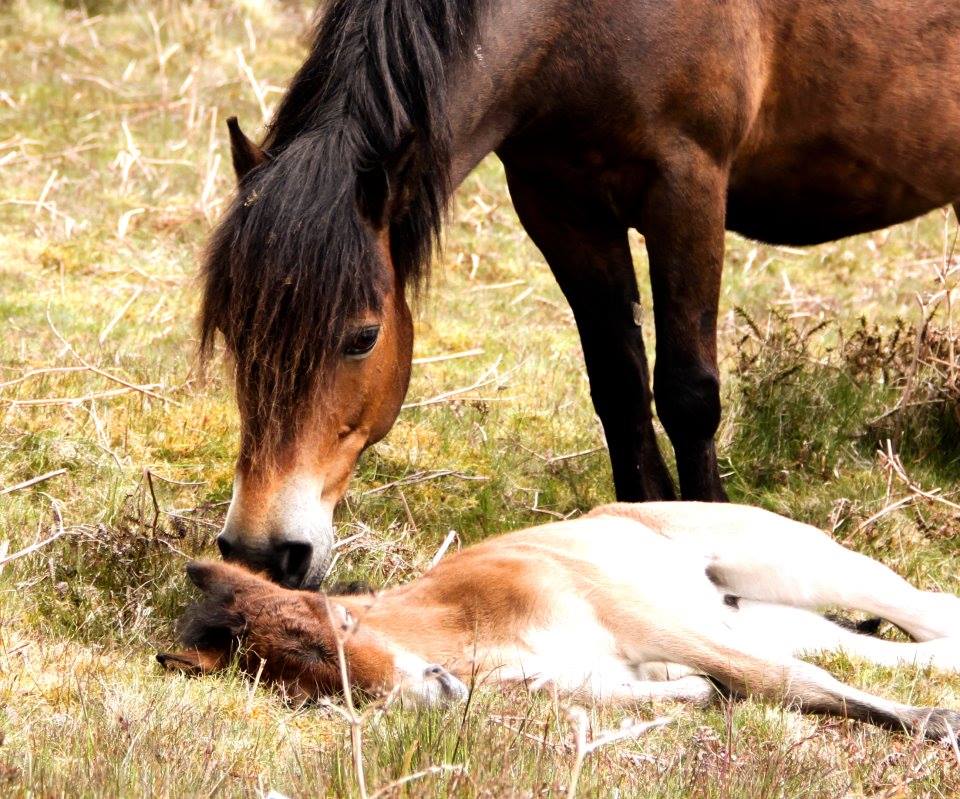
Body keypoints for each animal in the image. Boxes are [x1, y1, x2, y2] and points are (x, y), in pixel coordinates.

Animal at [160, 502, 960, 741]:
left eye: (335, 630)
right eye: (305, 690)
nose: (433, 692)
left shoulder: (642, 617)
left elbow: (779, 681)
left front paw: (934, 724)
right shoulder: (580, 674)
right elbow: (699, 687)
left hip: (798, 562)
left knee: (923, 609)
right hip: (768, 613)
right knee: (903, 646)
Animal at [201, 0, 960, 587]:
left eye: (362, 336)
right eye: (235, 331)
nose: (262, 551)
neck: (579, 23)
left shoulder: (688, 184)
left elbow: (687, 394)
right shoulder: (559, 204)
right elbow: (619, 389)